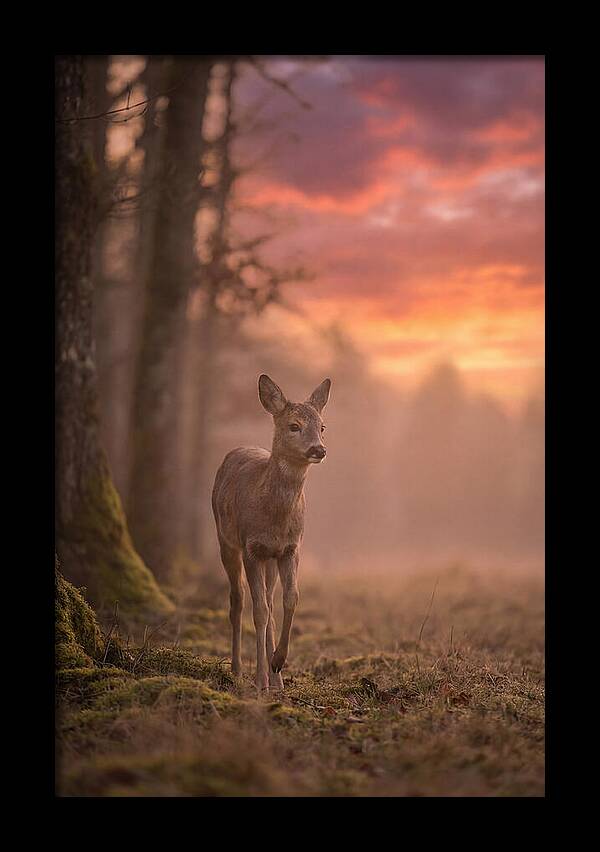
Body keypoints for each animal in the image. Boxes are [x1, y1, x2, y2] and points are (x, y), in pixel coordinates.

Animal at [211, 373, 331, 692]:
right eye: (294, 426)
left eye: (322, 426)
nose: (318, 449)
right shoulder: (252, 547)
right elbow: (259, 611)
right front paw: (260, 680)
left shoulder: (291, 548)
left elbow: (291, 599)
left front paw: (278, 662)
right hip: (226, 540)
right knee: (238, 600)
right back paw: (239, 669)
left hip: (270, 560)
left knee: (267, 598)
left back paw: (276, 679)